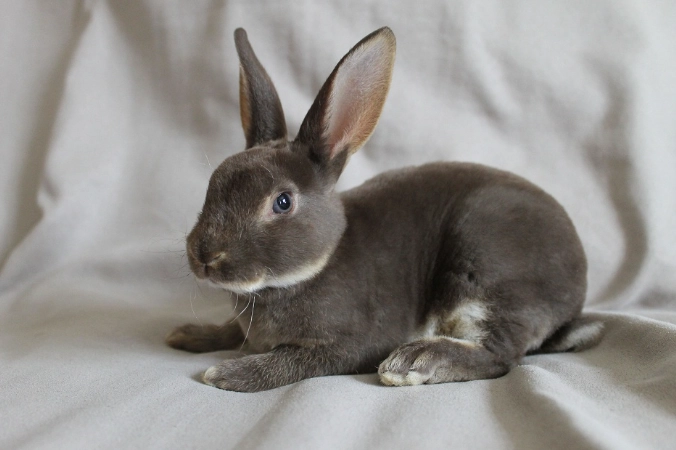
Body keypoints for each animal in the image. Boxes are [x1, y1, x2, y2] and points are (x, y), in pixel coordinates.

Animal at [166, 27, 603, 392]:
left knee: (501, 356)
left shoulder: (349, 344)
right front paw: (189, 334)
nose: (204, 255)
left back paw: (413, 361)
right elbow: (233, 332)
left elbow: (292, 362)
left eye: (282, 202)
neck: (312, 268)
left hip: (486, 267)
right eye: (214, 183)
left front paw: (228, 373)